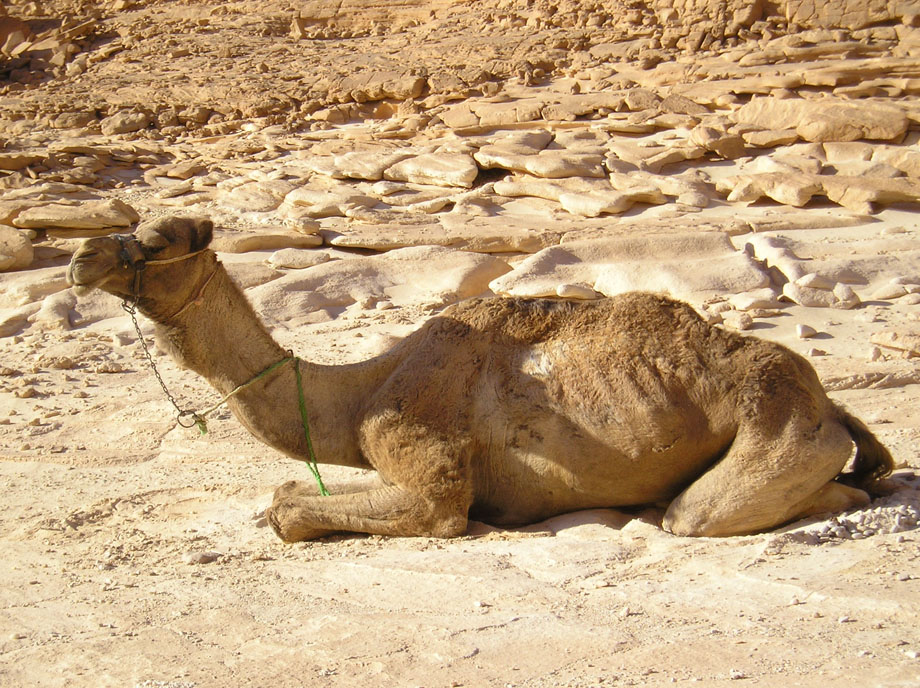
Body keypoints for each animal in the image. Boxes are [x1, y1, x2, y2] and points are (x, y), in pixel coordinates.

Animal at [66, 215, 893, 541]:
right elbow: (287, 492)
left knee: (699, 513)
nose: (81, 258)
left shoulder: (429, 469)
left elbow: (297, 507)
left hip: (778, 431)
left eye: (159, 241)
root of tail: (825, 402)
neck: (362, 389)